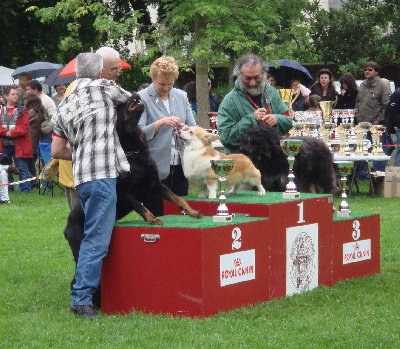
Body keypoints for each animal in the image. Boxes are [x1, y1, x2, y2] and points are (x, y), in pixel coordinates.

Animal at [65, 92, 203, 304]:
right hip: (79, 244)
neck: (134, 152)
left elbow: (178, 198)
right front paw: (153, 219)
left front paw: (193, 211)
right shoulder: (126, 192)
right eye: (119, 104)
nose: (136, 94)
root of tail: (66, 226)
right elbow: (142, 207)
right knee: (78, 276)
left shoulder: (156, 185)